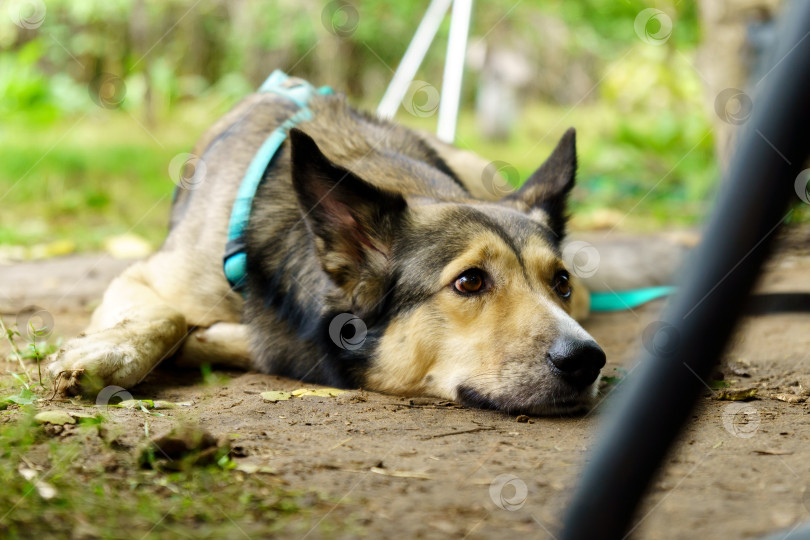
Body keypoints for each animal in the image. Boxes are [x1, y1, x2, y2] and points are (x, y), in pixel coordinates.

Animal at [47, 74, 604, 416]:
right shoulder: (147, 275)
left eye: (559, 281)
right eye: (469, 282)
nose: (587, 360)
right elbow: (168, 315)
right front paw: (108, 355)